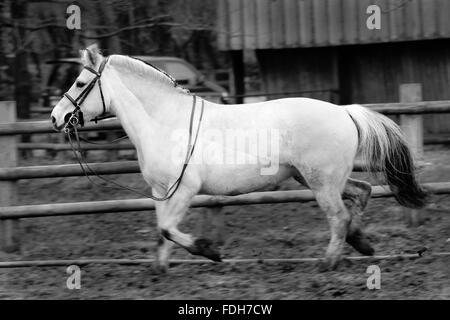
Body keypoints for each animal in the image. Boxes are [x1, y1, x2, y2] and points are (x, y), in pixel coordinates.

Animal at [51, 46, 428, 272]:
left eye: (81, 82)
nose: (56, 118)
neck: (165, 121)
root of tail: (344, 111)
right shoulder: (162, 191)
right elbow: (162, 232)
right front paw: (161, 269)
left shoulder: (185, 190)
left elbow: (169, 229)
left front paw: (209, 250)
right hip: (319, 179)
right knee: (361, 193)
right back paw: (361, 243)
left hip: (321, 182)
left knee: (339, 216)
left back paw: (328, 262)